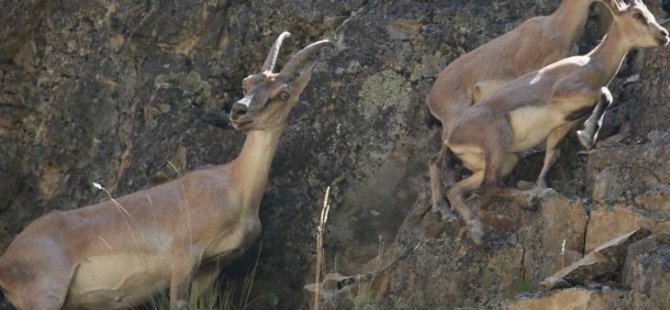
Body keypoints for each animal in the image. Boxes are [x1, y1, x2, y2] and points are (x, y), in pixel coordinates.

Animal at [0, 32, 334, 310]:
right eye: (246, 83)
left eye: (283, 94)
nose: (239, 110)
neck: (233, 186)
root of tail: (7, 261)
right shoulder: (184, 255)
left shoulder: (210, 267)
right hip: (43, 295)